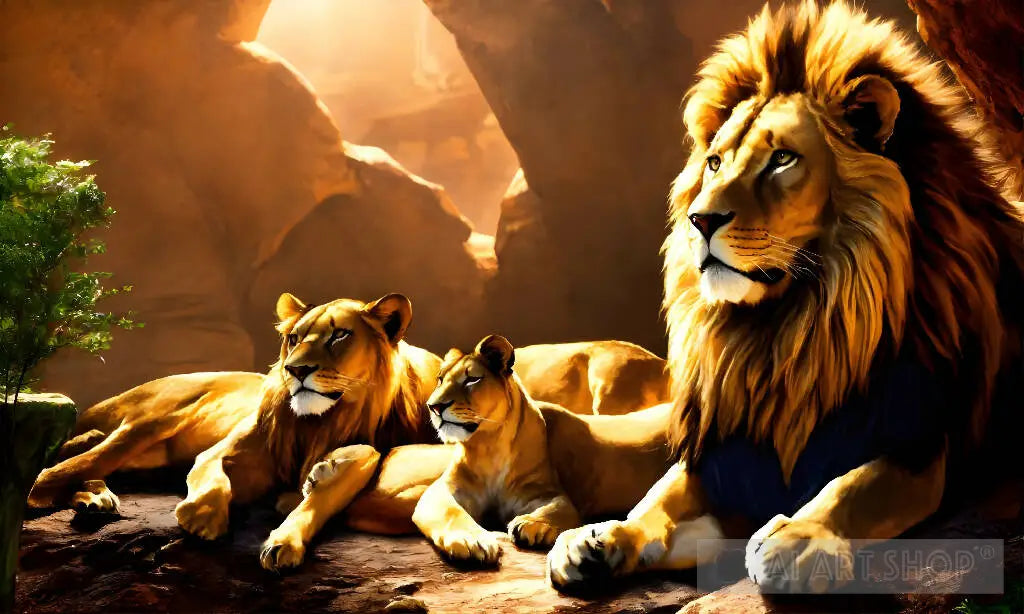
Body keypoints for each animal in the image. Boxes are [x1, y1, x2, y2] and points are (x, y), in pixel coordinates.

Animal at [548, 1, 1024, 595]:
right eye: (714, 162)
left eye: (781, 160)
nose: (699, 219)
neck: (789, 334)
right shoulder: (724, 446)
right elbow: (660, 497)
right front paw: (602, 538)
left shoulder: (921, 441)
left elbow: (856, 485)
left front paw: (798, 539)